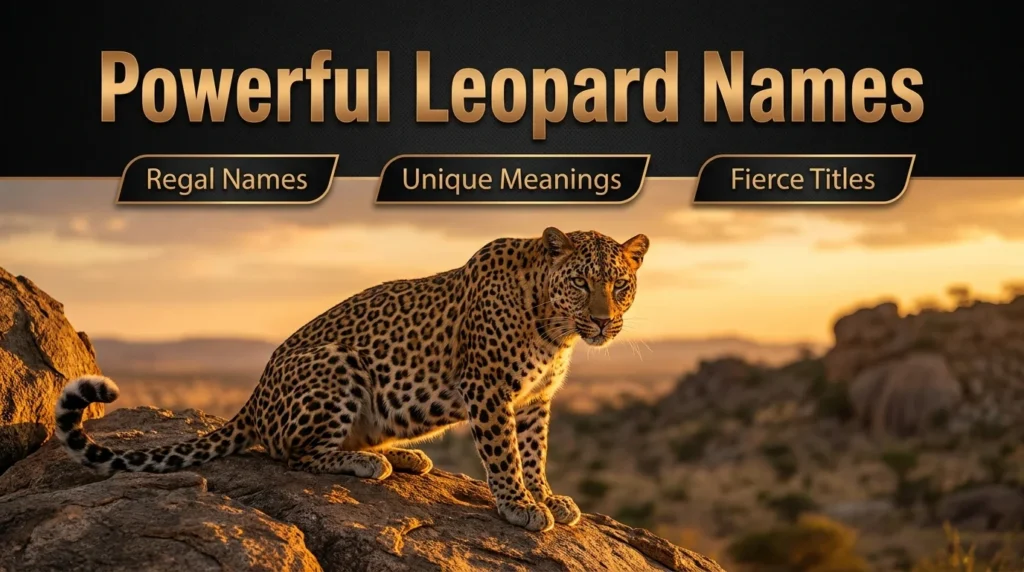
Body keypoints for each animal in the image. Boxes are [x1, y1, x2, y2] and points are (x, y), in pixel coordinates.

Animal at [54, 227, 649, 532]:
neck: (555, 328)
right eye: (581, 282)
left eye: (620, 286)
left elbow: (534, 450)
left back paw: (406, 456)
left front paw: (547, 496)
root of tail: (252, 400)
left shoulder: (534, 398)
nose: (603, 321)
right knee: (292, 454)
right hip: (337, 364)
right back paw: (368, 462)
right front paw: (519, 505)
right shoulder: (488, 388)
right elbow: (504, 454)